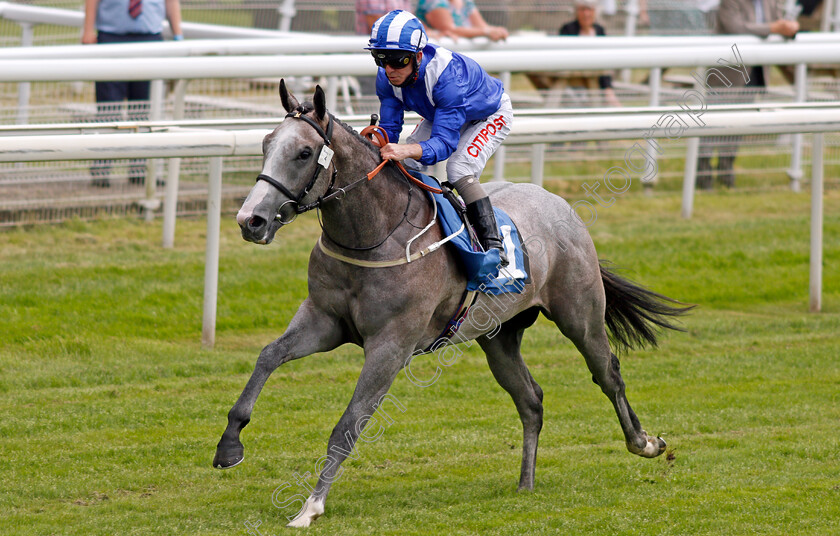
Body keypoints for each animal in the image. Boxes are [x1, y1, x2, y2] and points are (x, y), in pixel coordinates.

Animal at [215, 81, 688, 524]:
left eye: (304, 152)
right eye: (265, 144)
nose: (250, 220)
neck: (376, 236)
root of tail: (559, 204)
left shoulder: (391, 345)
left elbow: (349, 423)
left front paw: (309, 507)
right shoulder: (324, 321)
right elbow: (268, 355)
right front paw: (229, 445)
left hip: (580, 314)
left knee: (607, 374)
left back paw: (646, 443)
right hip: (498, 335)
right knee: (530, 398)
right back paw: (526, 483)